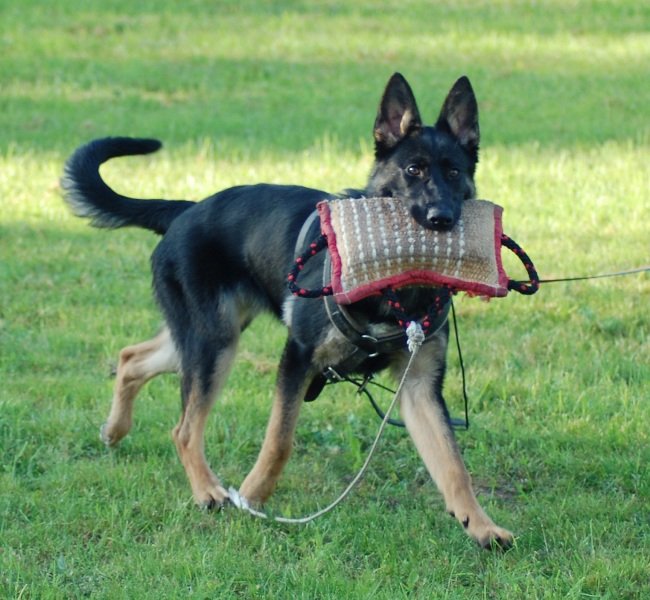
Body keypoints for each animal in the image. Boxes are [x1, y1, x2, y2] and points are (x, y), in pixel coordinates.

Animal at [61, 73, 513, 549]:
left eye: (454, 172)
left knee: (132, 359)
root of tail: (186, 209)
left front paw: (481, 526)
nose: (441, 218)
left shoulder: (420, 387)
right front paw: (252, 499)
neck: (395, 291)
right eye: (414, 170)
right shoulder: (297, 358)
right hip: (213, 345)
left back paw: (115, 431)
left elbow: (452, 465)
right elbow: (280, 440)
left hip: (205, 337)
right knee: (184, 428)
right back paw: (206, 490)